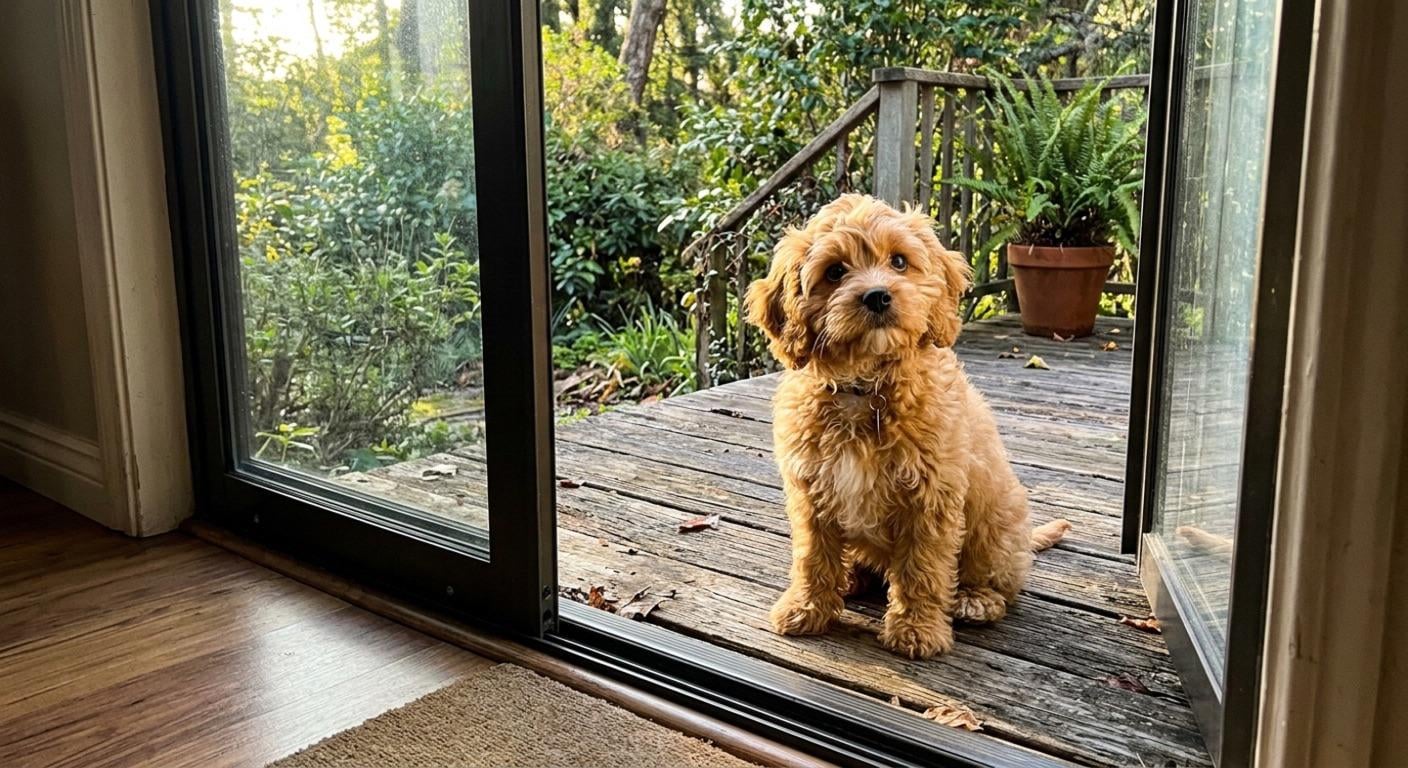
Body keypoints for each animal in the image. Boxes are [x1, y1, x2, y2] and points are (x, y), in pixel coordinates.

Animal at [744, 194, 1065, 659]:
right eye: (835, 271)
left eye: (898, 261)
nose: (878, 296)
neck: (865, 389)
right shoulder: (811, 492)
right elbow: (812, 556)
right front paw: (806, 609)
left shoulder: (930, 497)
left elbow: (922, 567)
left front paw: (917, 630)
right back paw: (851, 577)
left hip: (995, 520)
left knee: (1000, 581)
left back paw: (975, 600)